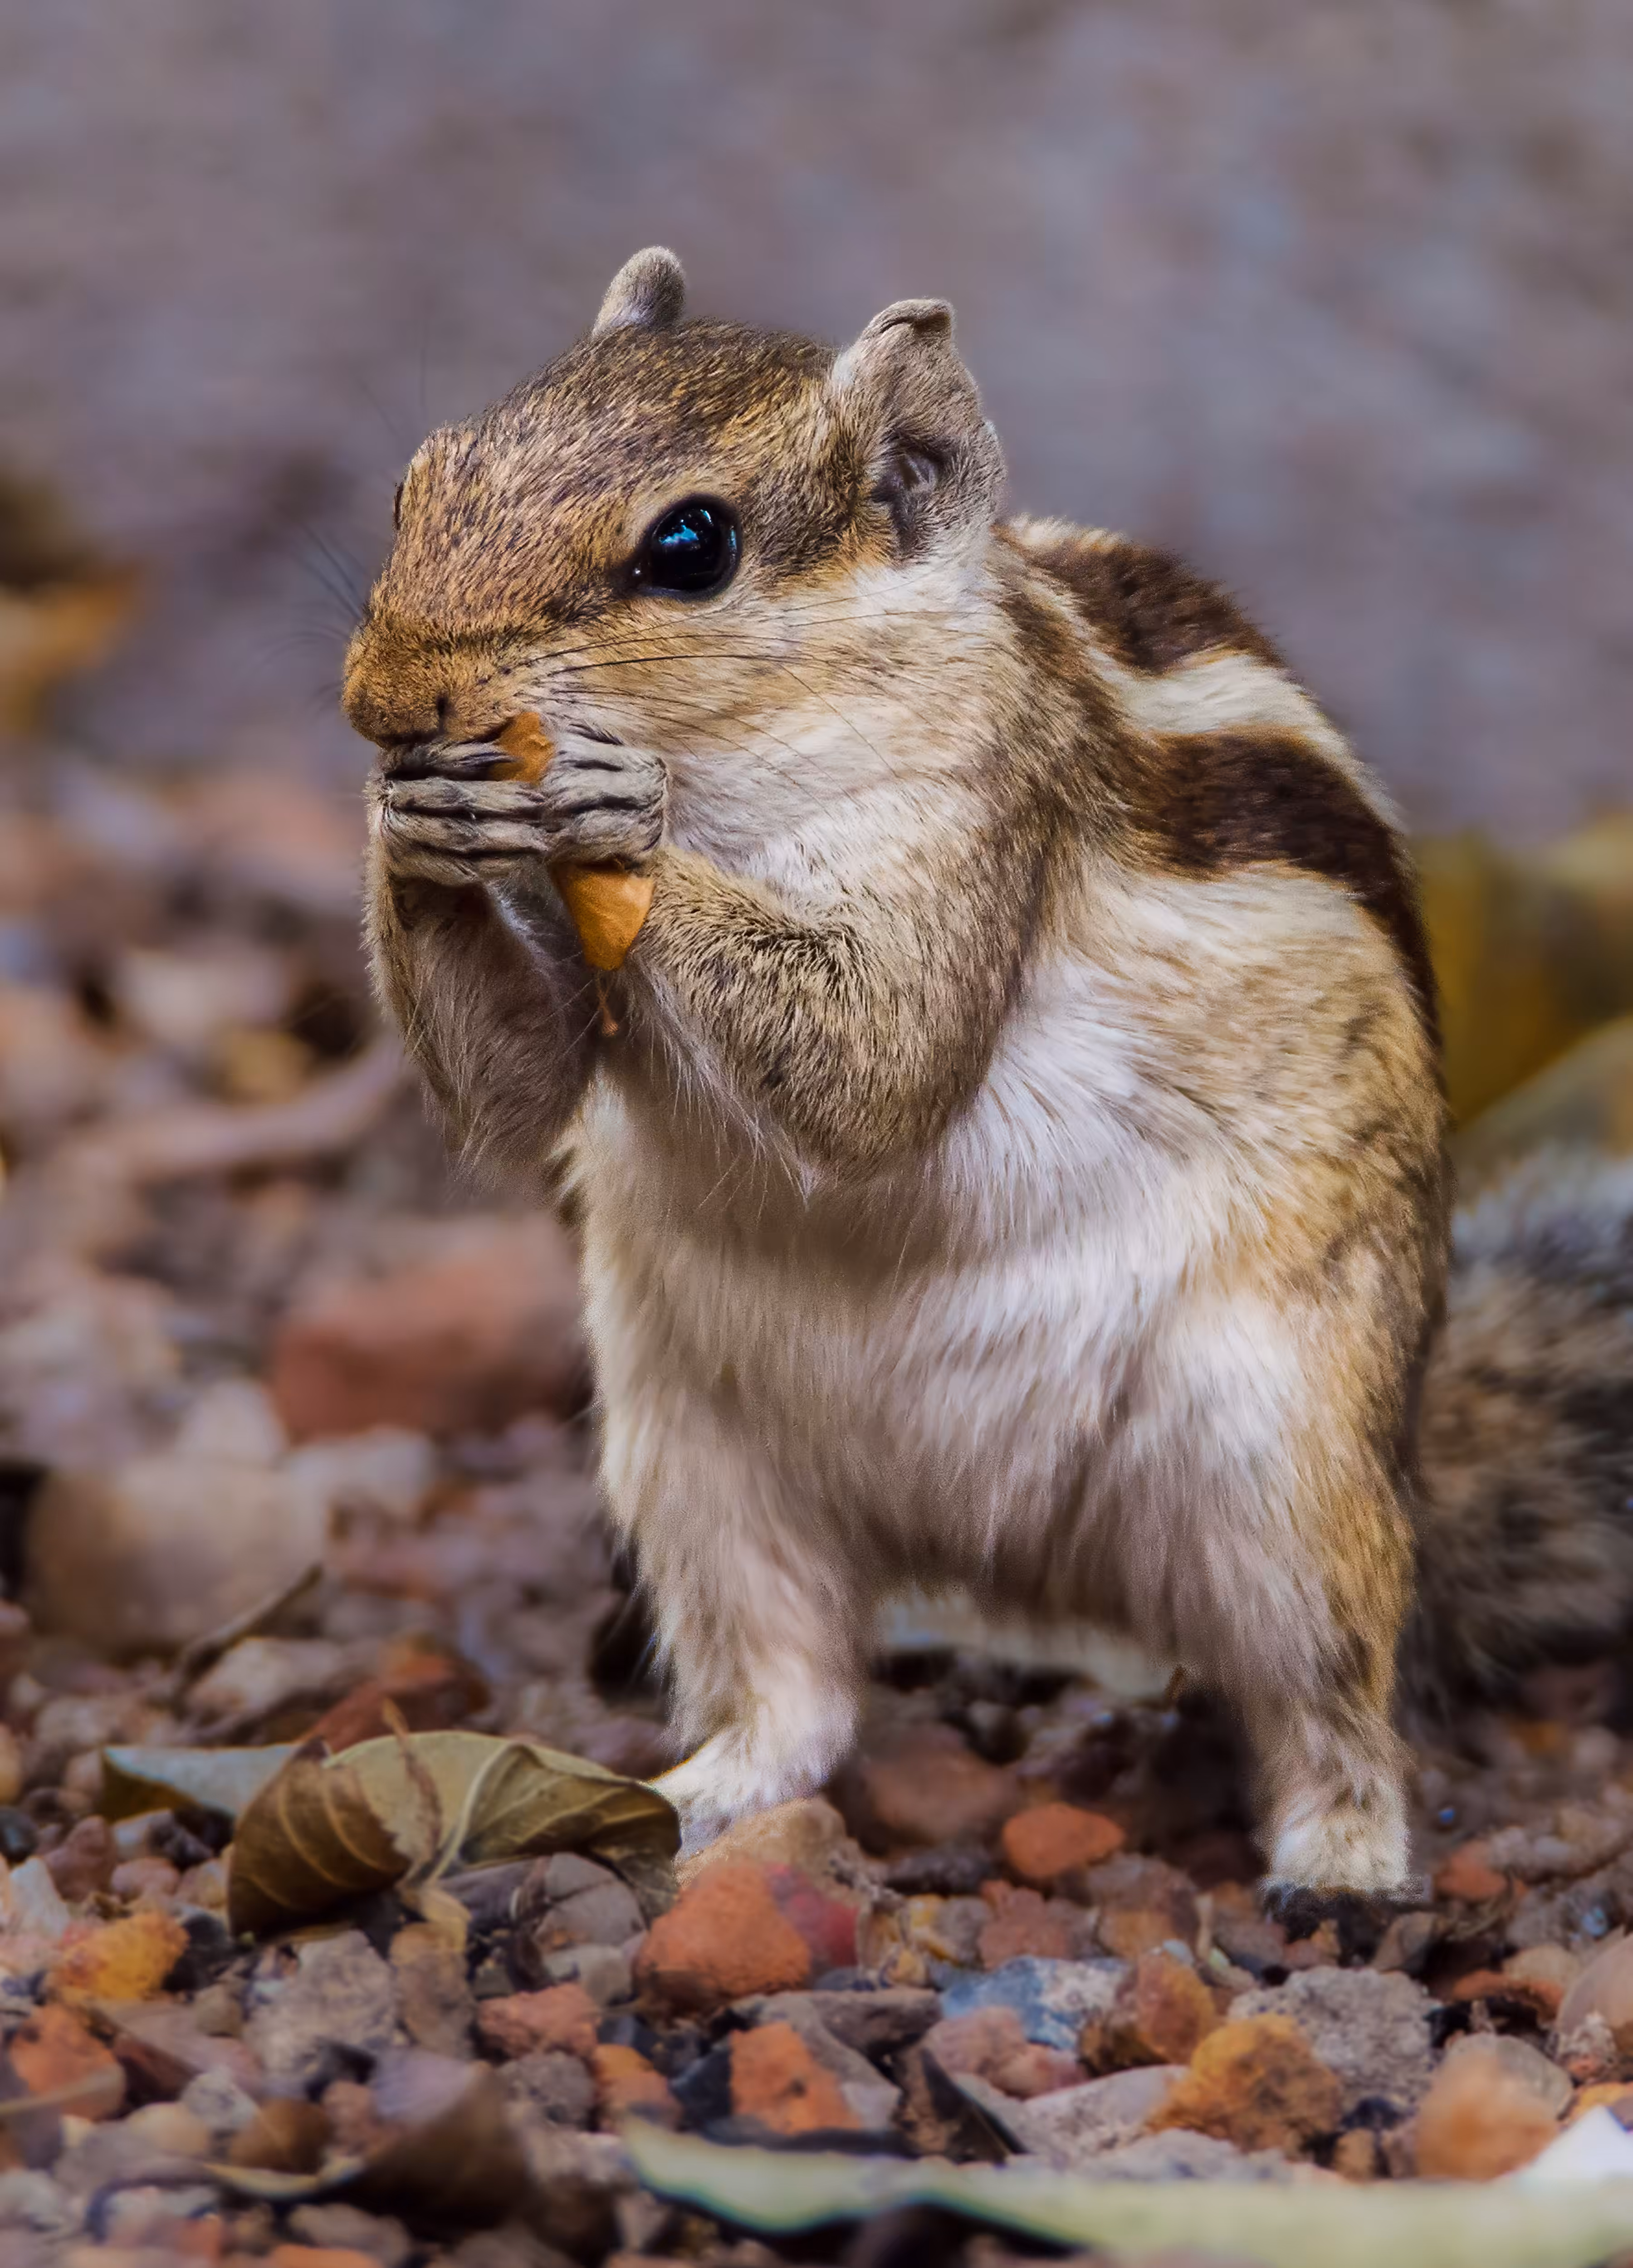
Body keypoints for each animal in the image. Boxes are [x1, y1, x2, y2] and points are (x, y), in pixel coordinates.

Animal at [344, 247, 1633, 1912]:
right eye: (415, 479)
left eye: (692, 549)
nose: (387, 701)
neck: (761, 751)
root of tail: (1017, 1558)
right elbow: (517, 1093)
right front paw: (411, 828)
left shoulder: (975, 820)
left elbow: (877, 1060)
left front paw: (610, 807)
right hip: (695, 1464)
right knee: (798, 1693)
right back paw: (697, 1796)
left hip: (1287, 1475)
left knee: (1332, 1697)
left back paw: (1342, 1862)